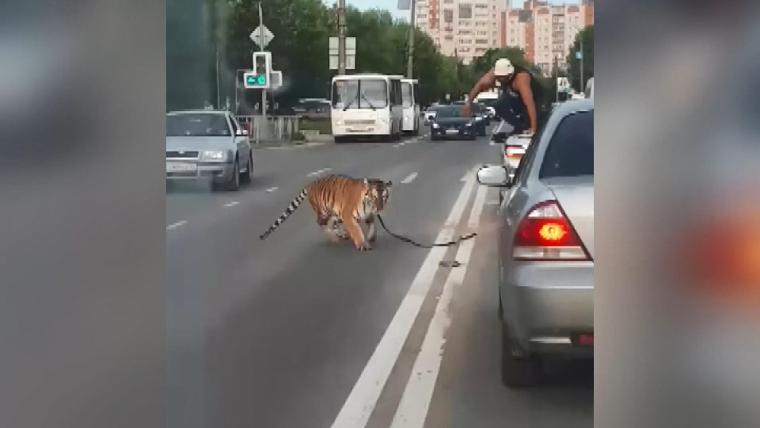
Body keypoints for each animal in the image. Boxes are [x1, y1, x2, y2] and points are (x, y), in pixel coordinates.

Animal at [260, 174, 392, 251]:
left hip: (335, 213)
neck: (369, 206)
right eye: (374, 197)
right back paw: (334, 237)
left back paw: (342, 234)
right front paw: (362, 244)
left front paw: (371, 237)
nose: (379, 209)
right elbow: (356, 230)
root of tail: (311, 183)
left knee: (333, 224)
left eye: (384, 197)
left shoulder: (367, 215)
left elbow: (373, 226)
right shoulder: (348, 215)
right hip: (324, 212)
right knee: (320, 223)